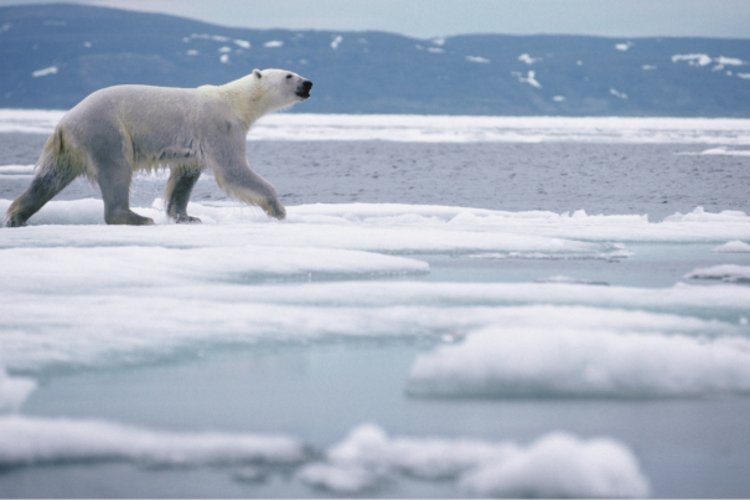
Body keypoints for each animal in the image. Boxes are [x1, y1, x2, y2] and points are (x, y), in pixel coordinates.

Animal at [3, 69, 312, 227]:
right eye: (289, 75)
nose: (308, 82)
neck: (235, 101)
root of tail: (63, 122)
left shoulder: (194, 146)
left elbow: (184, 178)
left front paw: (187, 216)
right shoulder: (219, 126)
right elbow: (233, 170)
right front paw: (279, 208)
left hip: (70, 147)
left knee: (49, 178)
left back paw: (16, 215)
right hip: (106, 129)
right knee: (116, 169)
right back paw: (136, 217)